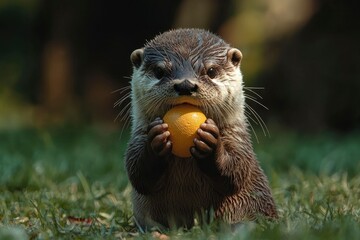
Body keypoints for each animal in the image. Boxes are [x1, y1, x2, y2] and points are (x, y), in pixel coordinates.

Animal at [124, 28, 278, 231]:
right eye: (159, 71)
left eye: (211, 71)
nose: (185, 85)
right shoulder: (137, 136)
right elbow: (138, 173)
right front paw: (156, 140)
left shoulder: (238, 139)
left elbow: (236, 171)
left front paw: (210, 144)